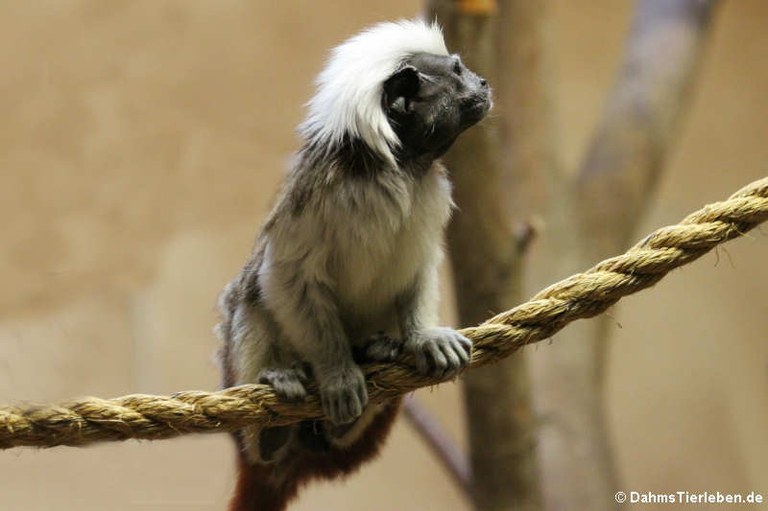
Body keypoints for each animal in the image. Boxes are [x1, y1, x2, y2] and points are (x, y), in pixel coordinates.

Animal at [216, 19, 492, 511]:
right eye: (458, 72)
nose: (484, 83)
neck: (397, 170)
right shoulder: (315, 198)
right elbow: (284, 277)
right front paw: (339, 375)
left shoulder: (431, 196)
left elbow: (420, 266)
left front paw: (425, 338)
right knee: (247, 299)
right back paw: (273, 426)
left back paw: (372, 363)